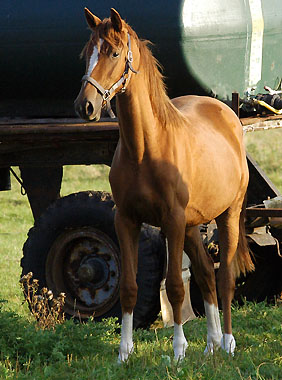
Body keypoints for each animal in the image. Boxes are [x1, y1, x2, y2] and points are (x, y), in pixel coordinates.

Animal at [74, 7, 253, 360]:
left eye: (114, 52)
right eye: (87, 54)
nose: (85, 106)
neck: (146, 149)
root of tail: (227, 113)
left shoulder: (171, 220)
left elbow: (174, 286)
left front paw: (179, 351)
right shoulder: (126, 221)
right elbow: (129, 286)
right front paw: (124, 353)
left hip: (227, 215)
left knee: (224, 277)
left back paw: (227, 343)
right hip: (191, 225)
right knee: (206, 274)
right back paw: (211, 344)